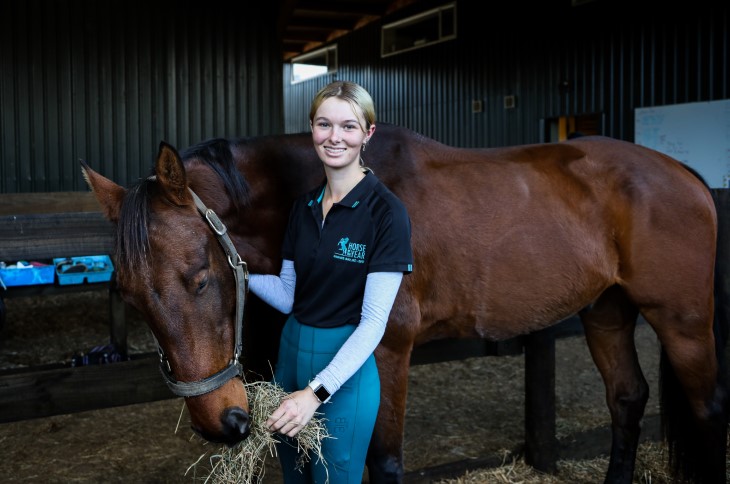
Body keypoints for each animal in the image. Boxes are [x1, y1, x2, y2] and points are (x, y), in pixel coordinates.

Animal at [82, 123, 724, 482]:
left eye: (199, 277)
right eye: (131, 297)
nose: (223, 422)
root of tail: (683, 173)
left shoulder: (386, 353)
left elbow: (383, 460)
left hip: (684, 323)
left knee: (707, 408)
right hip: (607, 313)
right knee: (627, 400)